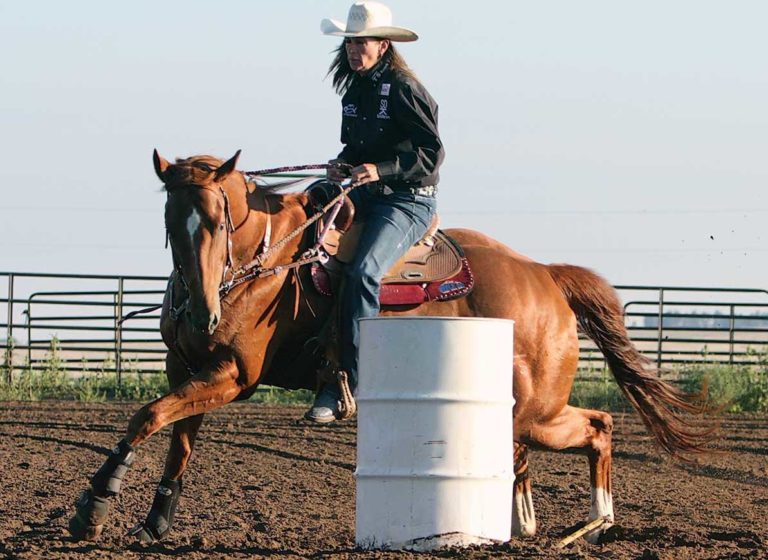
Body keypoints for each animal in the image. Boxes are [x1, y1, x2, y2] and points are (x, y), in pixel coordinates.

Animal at [68, 150, 716, 545]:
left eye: (219, 221)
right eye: (171, 223)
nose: (201, 312)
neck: (264, 263)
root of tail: (545, 276)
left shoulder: (233, 374)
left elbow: (147, 416)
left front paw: (93, 505)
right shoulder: (190, 365)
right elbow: (175, 437)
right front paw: (154, 520)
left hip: (538, 410)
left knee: (599, 425)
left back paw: (598, 521)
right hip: (519, 410)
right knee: (530, 451)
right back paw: (524, 524)